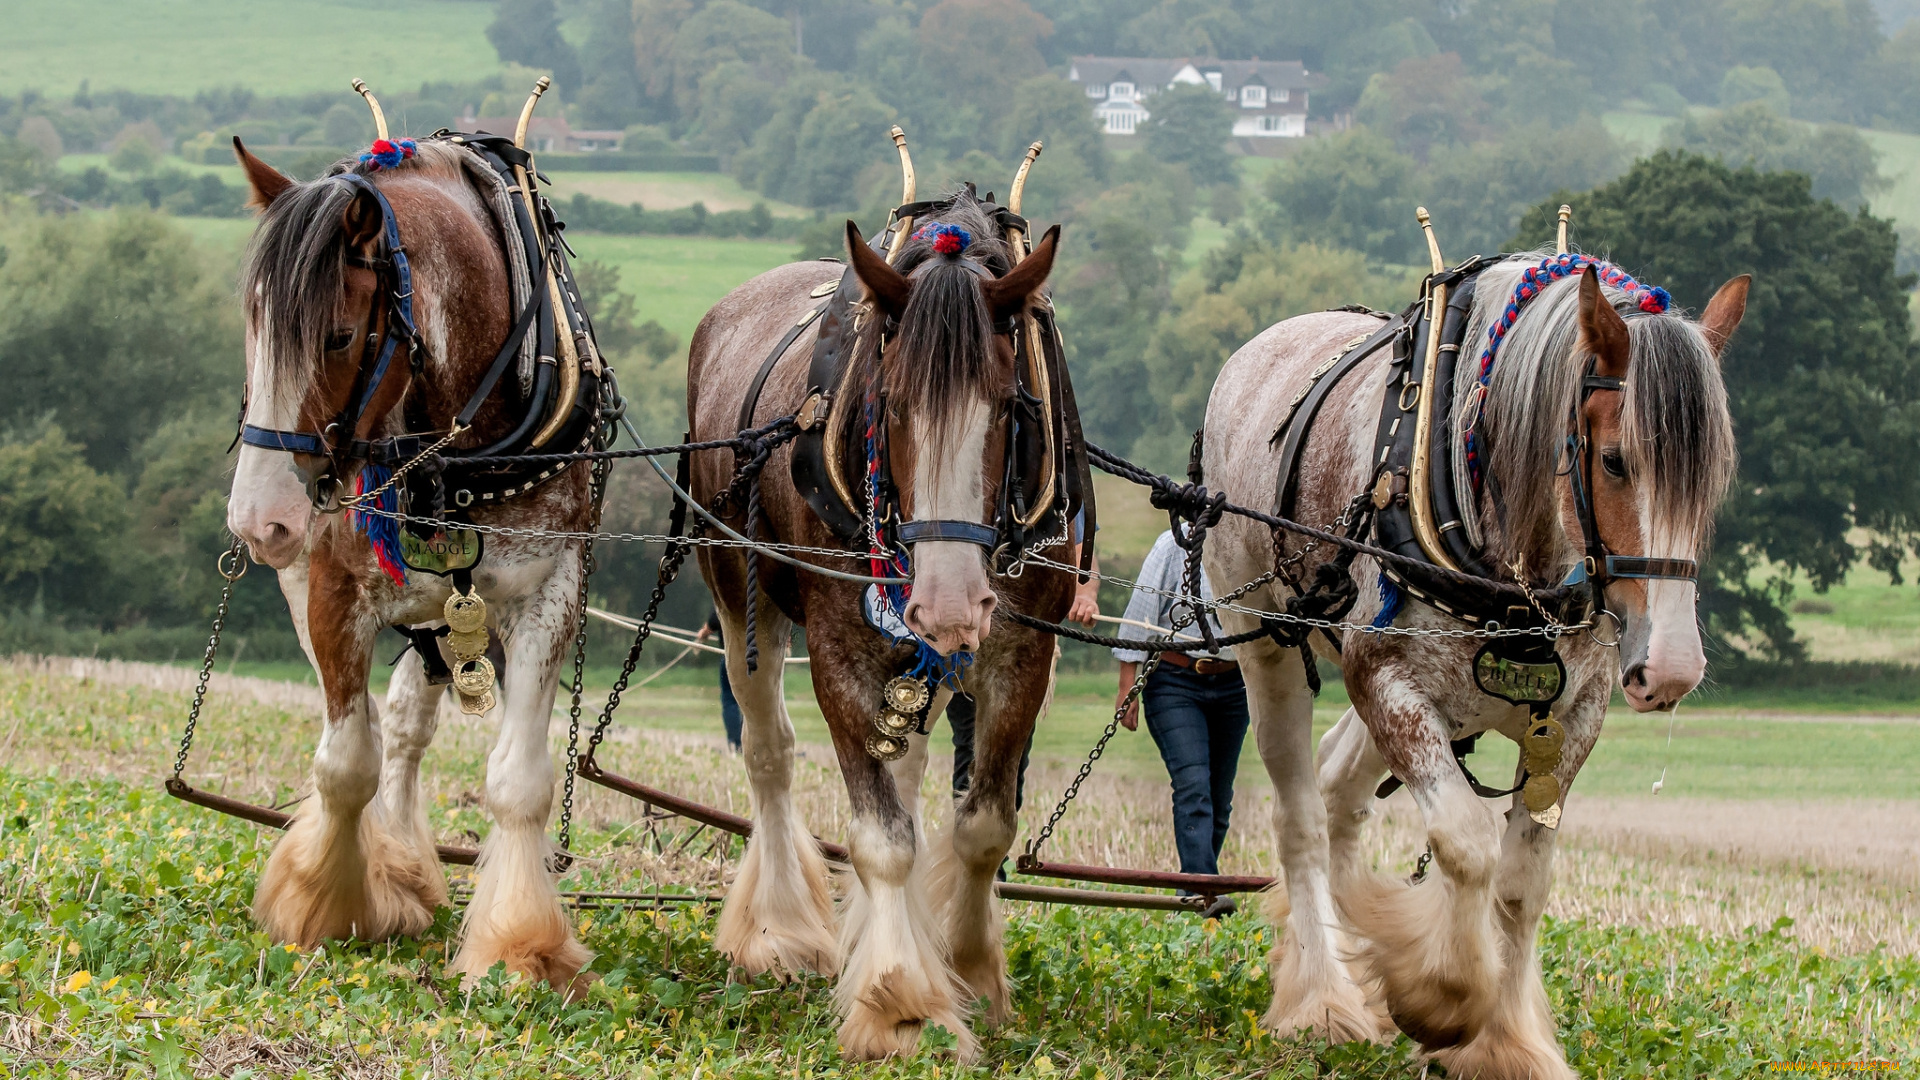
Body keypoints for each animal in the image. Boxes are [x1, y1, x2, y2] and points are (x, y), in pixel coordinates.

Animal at [224, 130, 614, 991]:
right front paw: (326, 904)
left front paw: (521, 948)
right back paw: (387, 868)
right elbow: (347, 762)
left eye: (337, 336)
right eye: (252, 324)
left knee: (407, 723)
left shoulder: (548, 594)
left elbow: (518, 781)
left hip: (446, 619)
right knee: (378, 729)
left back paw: (402, 862)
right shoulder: (333, 589)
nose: (260, 519)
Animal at [687, 189, 1082, 1053]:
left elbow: (982, 826)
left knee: (902, 766)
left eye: (1011, 407)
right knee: (769, 752)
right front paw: (901, 1002)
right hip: (735, 585)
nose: (948, 602)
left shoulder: (1023, 652)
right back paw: (780, 930)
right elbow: (882, 837)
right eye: (891, 405)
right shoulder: (841, 649)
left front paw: (969, 975)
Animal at [1205, 249, 1751, 1068]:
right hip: (1267, 641)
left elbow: (1522, 884)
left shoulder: (1569, 722)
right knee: (1301, 813)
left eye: (1712, 478)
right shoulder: (1387, 682)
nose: (1672, 670)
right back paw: (1325, 997)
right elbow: (1465, 845)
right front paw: (1442, 999)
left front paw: (1507, 1044)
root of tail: (1260, 348)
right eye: (1615, 461)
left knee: (1337, 790)